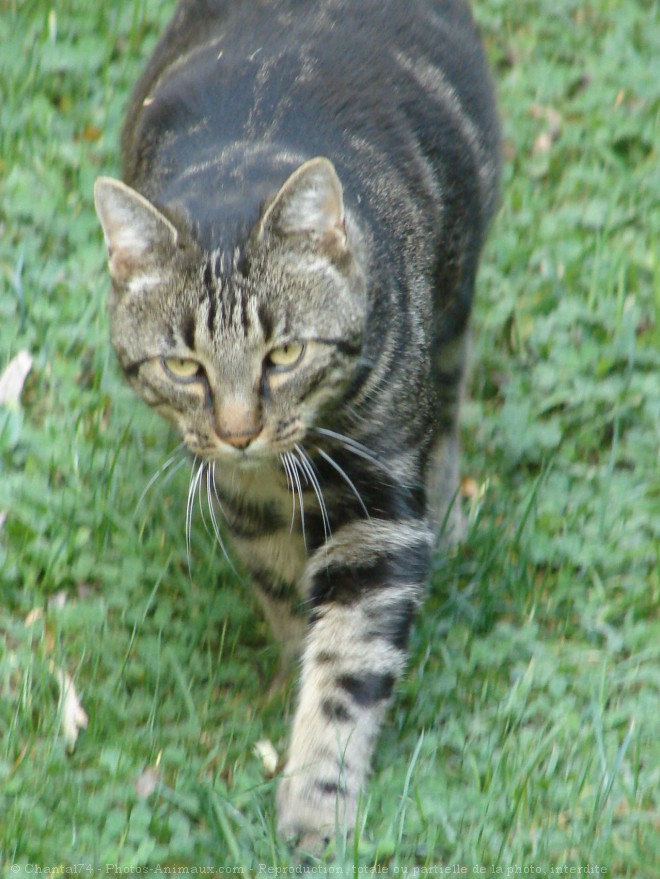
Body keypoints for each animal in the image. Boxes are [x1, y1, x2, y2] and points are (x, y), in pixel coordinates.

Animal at [94, 0, 500, 852]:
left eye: (283, 354)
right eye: (184, 366)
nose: (240, 430)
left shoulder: (378, 508)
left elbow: (346, 665)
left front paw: (316, 802)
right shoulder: (245, 501)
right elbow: (288, 600)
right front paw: (293, 670)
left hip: (456, 295)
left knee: (450, 390)